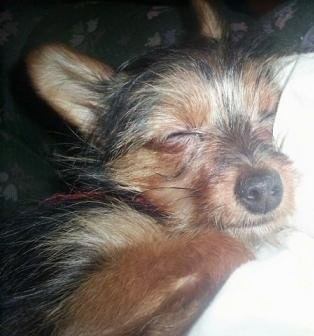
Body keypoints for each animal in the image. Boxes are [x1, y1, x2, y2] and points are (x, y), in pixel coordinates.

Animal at [0, 0, 294, 336]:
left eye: (269, 113)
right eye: (177, 135)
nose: (264, 189)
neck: (151, 208)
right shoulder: (71, 304)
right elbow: (214, 243)